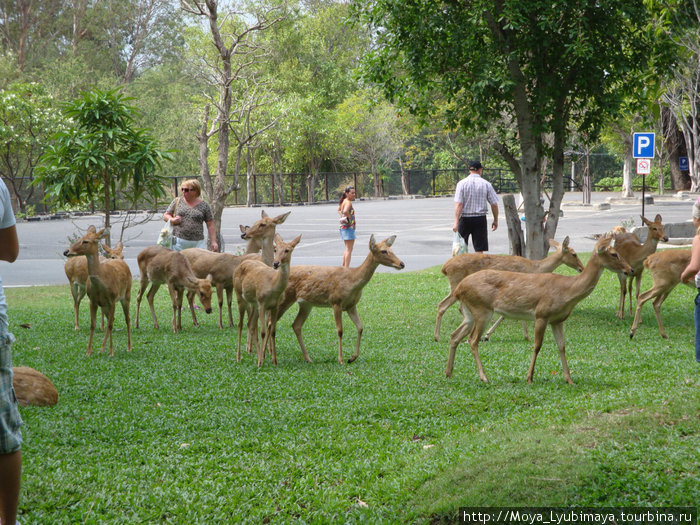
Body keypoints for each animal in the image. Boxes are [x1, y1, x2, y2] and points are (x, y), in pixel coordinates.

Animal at [63, 225, 133, 356]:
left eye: (85, 241)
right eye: (79, 238)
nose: (66, 251)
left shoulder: (112, 299)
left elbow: (110, 325)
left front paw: (111, 352)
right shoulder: (93, 301)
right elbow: (92, 325)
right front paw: (89, 351)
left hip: (126, 295)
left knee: (127, 319)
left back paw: (129, 347)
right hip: (77, 286)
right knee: (77, 303)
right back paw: (101, 347)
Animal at [235, 233, 300, 364]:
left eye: (287, 250)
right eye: (275, 249)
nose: (276, 263)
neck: (273, 285)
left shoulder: (275, 306)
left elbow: (273, 331)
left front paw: (273, 361)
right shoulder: (262, 303)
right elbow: (263, 332)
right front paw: (260, 362)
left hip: (254, 304)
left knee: (250, 324)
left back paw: (257, 354)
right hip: (240, 295)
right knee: (240, 324)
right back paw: (239, 357)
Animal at [274, 234, 404, 362]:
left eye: (391, 250)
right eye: (383, 251)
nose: (402, 264)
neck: (352, 281)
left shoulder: (352, 306)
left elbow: (360, 327)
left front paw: (352, 357)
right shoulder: (336, 302)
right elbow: (340, 330)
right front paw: (341, 359)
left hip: (306, 304)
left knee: (296, 325)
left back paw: (308, 358)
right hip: (284, 299)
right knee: (273, 322)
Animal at [432, 237, 584, 344]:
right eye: (574, 254)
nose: (581, 268)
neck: (536, 267)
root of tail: (445, 268)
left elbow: (504, 314)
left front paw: (487, 335)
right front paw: (527, 336)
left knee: (449, 306)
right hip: (455, 284)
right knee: (442, 305)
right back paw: (437, 337)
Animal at [448, 235, 636, 382]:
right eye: (614, 254)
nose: (630, 269)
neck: (568, 290)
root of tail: (459, 288)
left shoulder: (558, 320)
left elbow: (562, 346)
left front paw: (569, 379)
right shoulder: (542, 314)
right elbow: (537, 345)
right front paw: (529, 377)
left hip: (469, 312)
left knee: (455, 335)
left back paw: (448, 372)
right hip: (481, 309)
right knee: (472, 340)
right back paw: (484, 377)